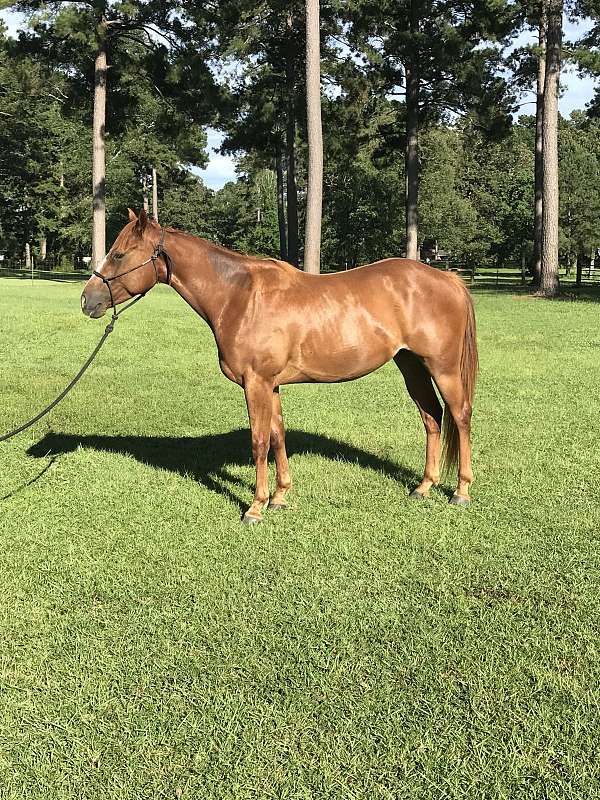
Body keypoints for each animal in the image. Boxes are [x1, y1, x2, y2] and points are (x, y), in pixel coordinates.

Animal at [81, 209, 478, 524]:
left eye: (119, 254)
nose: (87, 300)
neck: (239, 295)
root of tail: (448, 278)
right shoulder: (270, 384)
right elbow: (276, 436)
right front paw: (280, 497)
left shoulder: (255, 382)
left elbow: (258, 442)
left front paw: (255, 507)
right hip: (411, 365)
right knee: (431, 416)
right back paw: (424, 486)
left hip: (442, 368)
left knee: (459, 416)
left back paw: (461, 491)